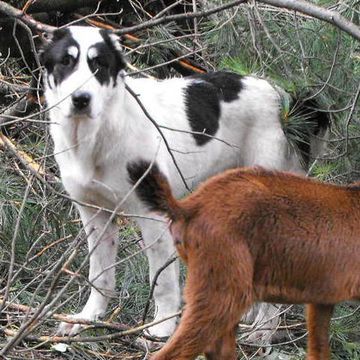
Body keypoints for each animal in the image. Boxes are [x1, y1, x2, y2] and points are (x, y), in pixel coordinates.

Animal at [40, 26, 330, 344]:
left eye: (100, 65)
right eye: (65, 62)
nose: (81, 99)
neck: (101, 132)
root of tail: (284, 96)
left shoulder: (153, 217)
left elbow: (164, 283)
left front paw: (161, 330)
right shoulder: (94, 213)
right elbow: (99, 275)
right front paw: (87, 318)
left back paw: (263, 331)